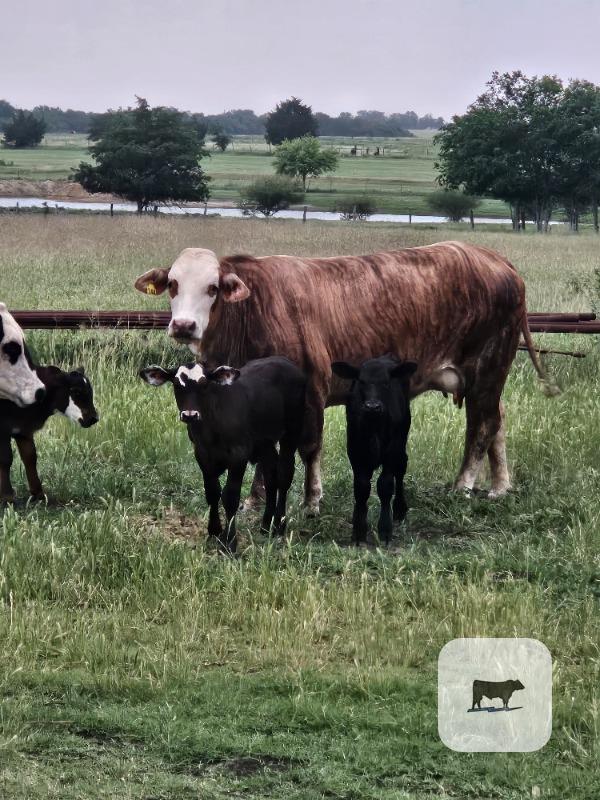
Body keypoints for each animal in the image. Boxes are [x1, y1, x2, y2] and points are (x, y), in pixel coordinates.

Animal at [0, 366, 99, 502]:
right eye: (76, 391)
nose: (94, 418)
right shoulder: (4, 428)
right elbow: (6, 459)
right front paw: (7, 496)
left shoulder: (24, 430)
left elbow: (30, 457)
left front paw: (38, 493)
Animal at [134, 242, 554, 515]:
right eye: (173, 285)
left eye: (213, 288)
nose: (184, 325)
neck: (253, 314)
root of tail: (495, 259)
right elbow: (264, 453)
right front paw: (255, 500)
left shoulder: (312, 392)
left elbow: (310, 448)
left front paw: (311, 500)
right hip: (489, 377)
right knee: (496, 422)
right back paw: (499, 487)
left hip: (487, 367)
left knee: (481, 426)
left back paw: (463, 485)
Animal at [139, 356, 306, 552]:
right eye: (176, 384)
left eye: (204, 384)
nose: (190, 415)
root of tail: (284, 361)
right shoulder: (202, 454)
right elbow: (212, 492)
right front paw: (214, 531)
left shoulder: (239, 453)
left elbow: (230, 496)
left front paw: (230, 542)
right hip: (264, 442)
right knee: (270, 476)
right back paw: (266, 525)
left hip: (292, 432)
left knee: (284, 474)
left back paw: (279, 524)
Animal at [331, 356, 416, 544]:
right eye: (361, 381)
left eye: (386, 383)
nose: (372, 406)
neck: (374, 425)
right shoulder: (355, 450)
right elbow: (361, 487)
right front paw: (358, 529)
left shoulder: (392, 450)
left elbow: (385, 485)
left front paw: (385, 529)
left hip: (402, 439)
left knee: (401, 467)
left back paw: (399, 508)